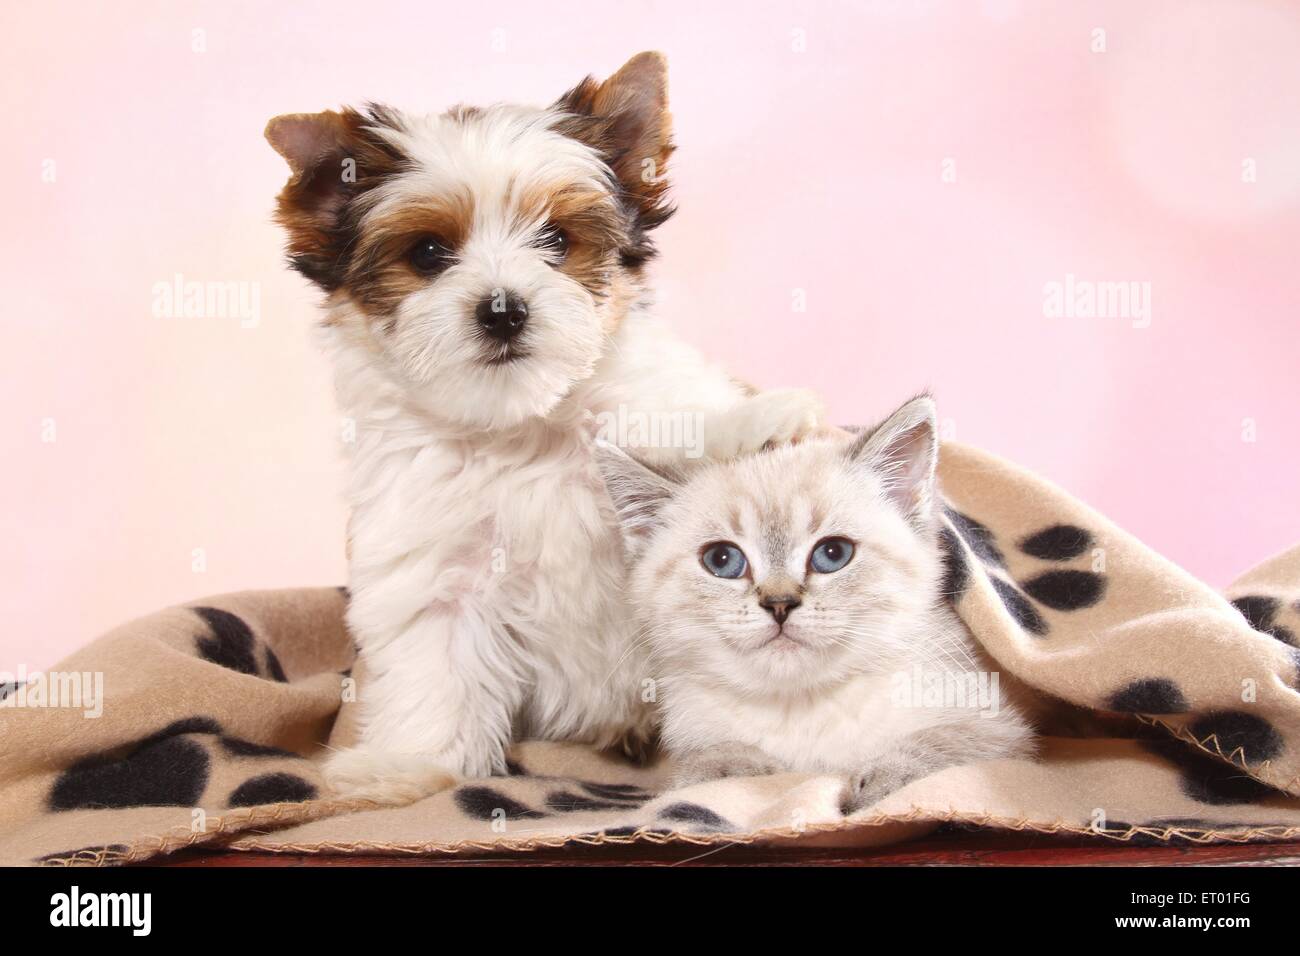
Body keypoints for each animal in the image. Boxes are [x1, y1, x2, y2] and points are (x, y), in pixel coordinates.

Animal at [266, 50, 821, 801]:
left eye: (557, 239)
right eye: (429, 253)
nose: (503, 309)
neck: (523, 427)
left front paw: (752, 425)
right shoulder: (432, 567)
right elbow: (435, 663)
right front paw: (410, 764)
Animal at [598, 392, 1034, 811]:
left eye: (833, 554)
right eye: (722, 560)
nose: (779, 604)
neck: (801, 708)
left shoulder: (1001, 730)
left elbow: (947, 745)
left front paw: (884, 778)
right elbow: (706, 764)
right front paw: (727, 769)